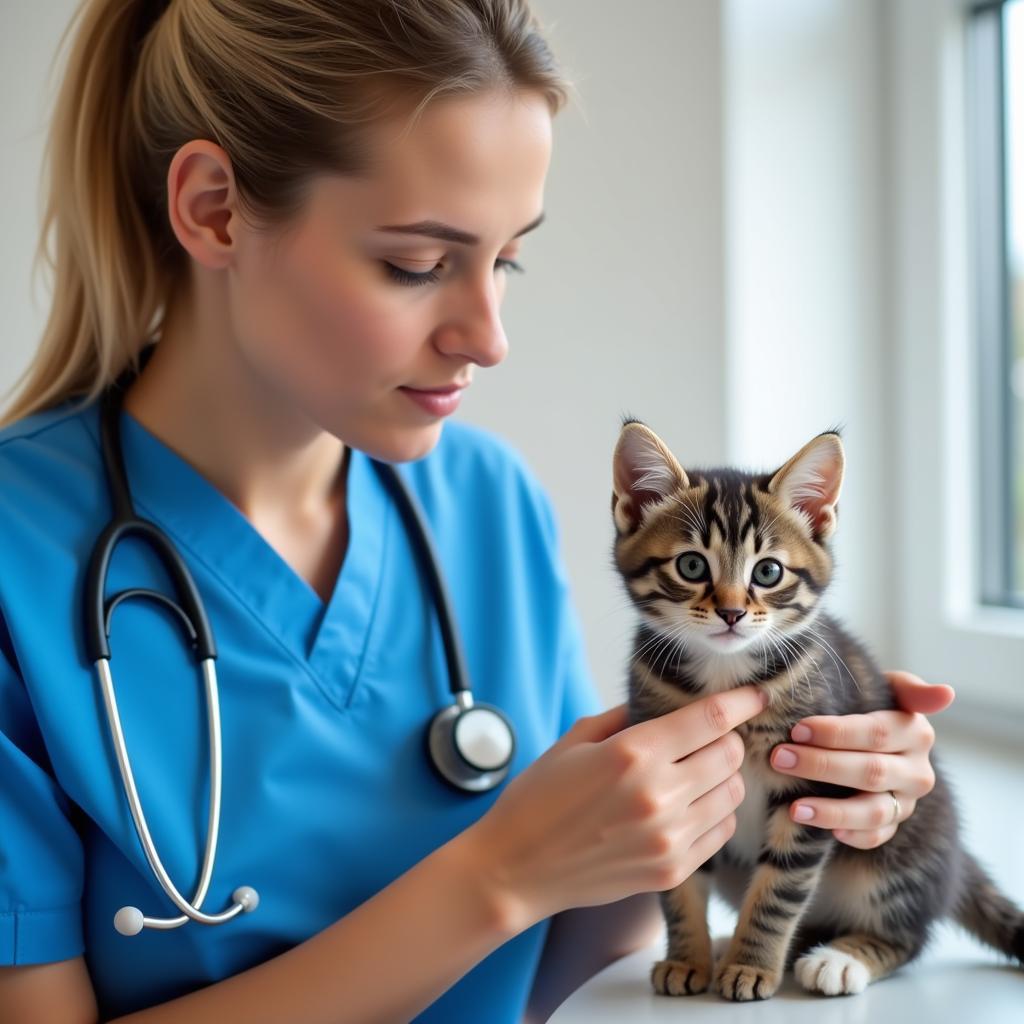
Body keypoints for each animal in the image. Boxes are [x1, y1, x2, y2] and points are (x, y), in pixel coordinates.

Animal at [610, 415, 1019, 999]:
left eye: (767, 572)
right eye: (691, 565)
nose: (731, 613)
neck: (723, 673)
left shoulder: (811, 786)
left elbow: (781, 887)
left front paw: (752, 965)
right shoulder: (680, 784)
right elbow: (682, 880)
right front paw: (687, 957)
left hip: (902, 853)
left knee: (907, 935)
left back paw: (841, 959)